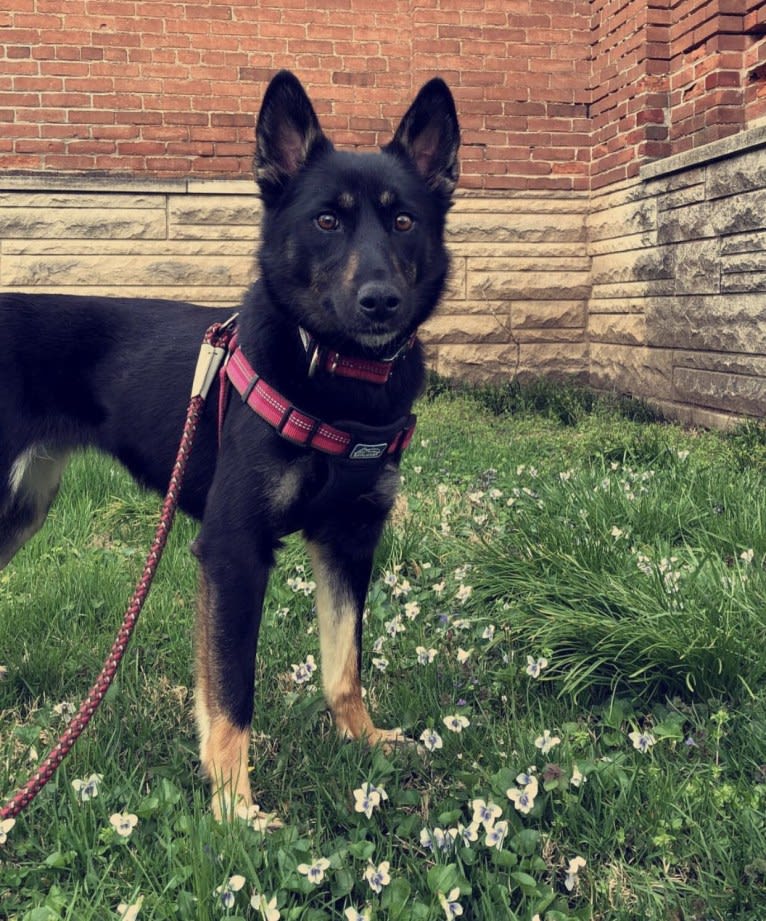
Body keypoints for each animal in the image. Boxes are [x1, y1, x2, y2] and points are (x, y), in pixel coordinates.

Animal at [0, 73, 462, 820]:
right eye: (326, 222)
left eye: (403, 222)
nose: (381, 302)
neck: (333, 374)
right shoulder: (233, 550)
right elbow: (232, 695)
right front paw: (234, 810)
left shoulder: (349, 539)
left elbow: (344, 664)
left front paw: (364, 740)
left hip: (22, 508)